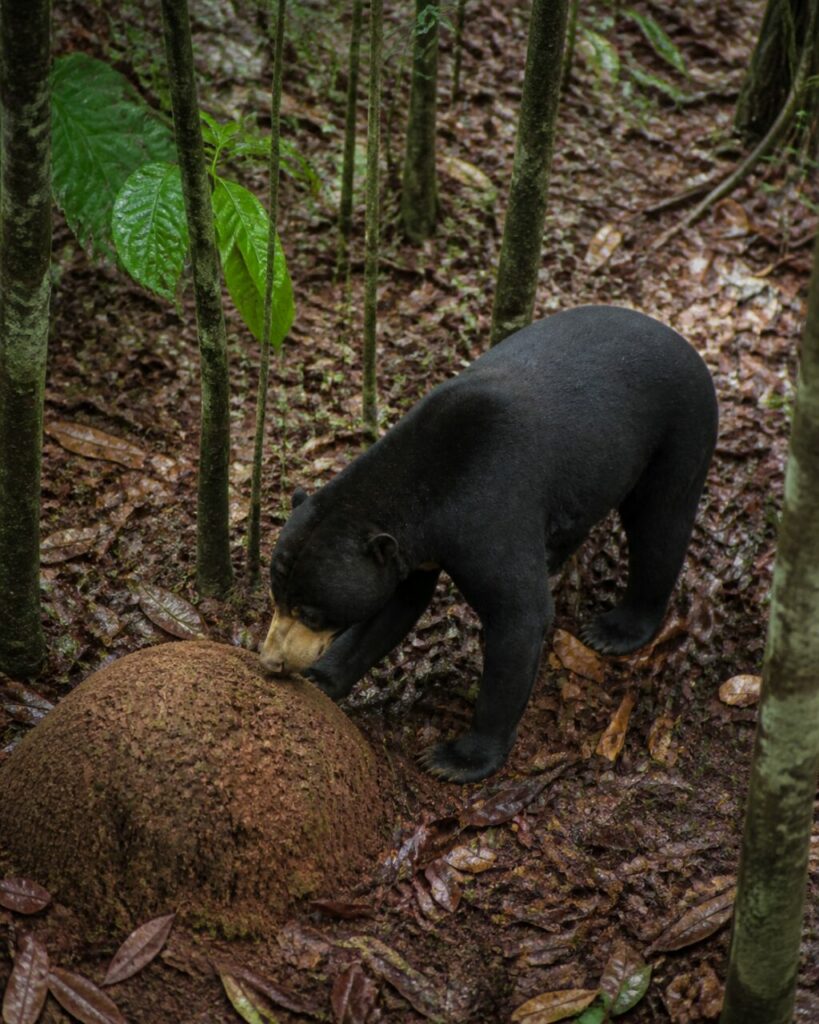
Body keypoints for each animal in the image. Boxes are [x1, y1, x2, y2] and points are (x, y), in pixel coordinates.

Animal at [260, 305, 718, 783]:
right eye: (277, 596)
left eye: (312, 613)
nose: (271, 661)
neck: (423, 494)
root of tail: (679, 338)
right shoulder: (407, 554)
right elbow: (393, 607)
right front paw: (320, 678)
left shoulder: (489, 515)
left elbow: (519, 616)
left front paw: (455, 758)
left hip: (680, 428)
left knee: (660, 524)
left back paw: (616, 630)